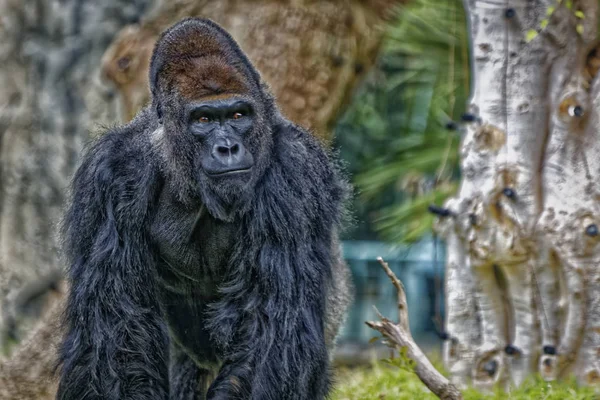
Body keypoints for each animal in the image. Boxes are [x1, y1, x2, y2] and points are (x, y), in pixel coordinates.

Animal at [57, 17, 352, 398]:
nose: (227, 147)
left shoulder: (296, 172)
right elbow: (112, 334)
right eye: (203, 120)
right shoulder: (112, 174)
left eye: (238, 115)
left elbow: (272, 334)